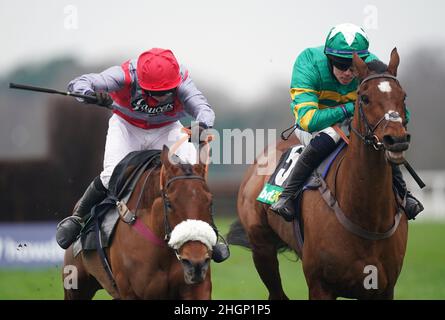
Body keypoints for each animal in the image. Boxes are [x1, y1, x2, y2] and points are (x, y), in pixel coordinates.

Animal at [61, 144, 216, 298]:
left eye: (210, 202)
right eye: (169, 204)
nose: (196, 263)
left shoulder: (197, 289)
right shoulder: (131, 292)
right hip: (75, 285)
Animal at [232, 48, 410, 298]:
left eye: (403, 97)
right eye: (364, 98)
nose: (396, 139)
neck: (366, 217)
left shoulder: (384, 288)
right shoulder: (320, 285)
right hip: (261, 248)